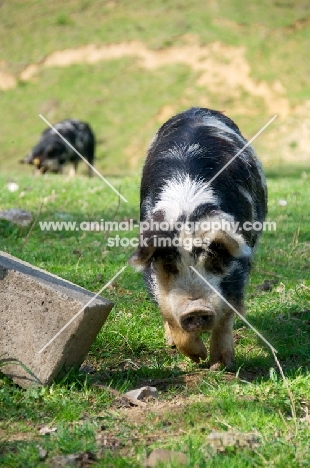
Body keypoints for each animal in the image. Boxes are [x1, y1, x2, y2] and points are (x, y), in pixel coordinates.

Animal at [130, 107, 268, 370]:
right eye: (169, 264)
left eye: (213, 260)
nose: (195, 308)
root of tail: (196, 109)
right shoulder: (153, 275)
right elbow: (167, 310)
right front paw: (196, 357)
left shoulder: (237, 267)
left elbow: (227, 312)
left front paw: (219, 364)